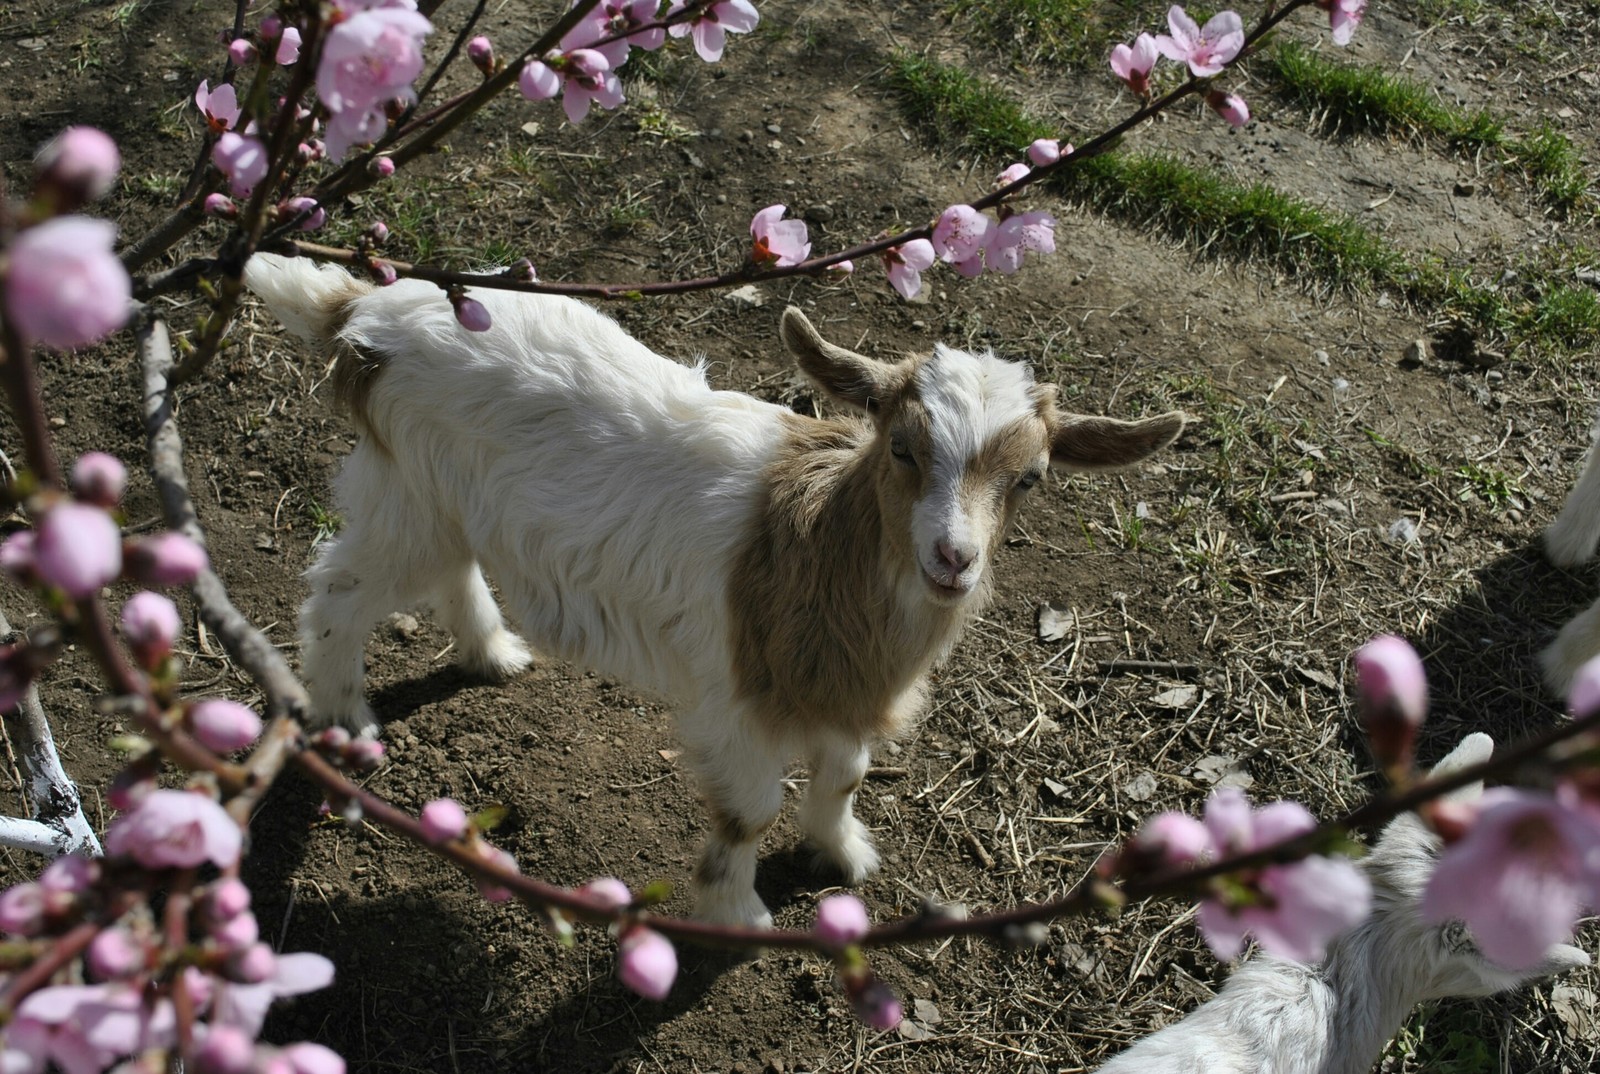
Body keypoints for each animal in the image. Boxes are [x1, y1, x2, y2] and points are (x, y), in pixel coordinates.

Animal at [243, 256, 1184, 928]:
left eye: (1030, 479)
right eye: (902, 449)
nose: (954, 559)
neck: (819, 547)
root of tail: (360, 312)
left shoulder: (844, 690)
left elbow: (845, 777)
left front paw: (843, 855)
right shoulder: (740, 701)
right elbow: (750, 813)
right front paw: (737, 913)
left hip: (444, 499)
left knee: (449, 570)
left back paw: (493, 653)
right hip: (407, 493)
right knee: (339, 592)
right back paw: (344, 716)